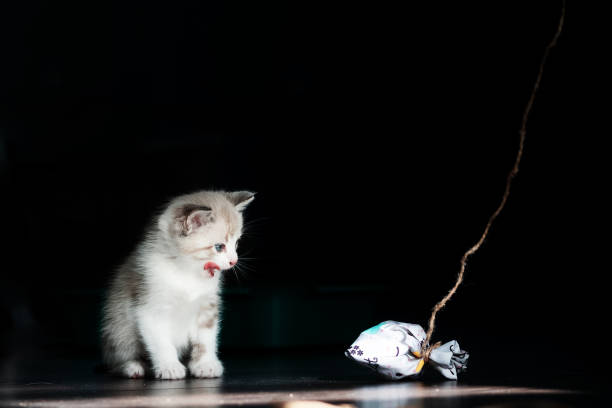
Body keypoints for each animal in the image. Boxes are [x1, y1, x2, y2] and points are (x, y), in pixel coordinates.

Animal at [101, 190, 255, 380]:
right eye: (219, 247)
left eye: (237, 243)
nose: (234, 261)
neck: (187, 272)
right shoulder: (150, 309)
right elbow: (161, 343)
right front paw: (169, 367)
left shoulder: (207, 308)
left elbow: (206, 340)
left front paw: (205, 365)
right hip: (118, 326)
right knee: (118, 355)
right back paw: (132, 366)